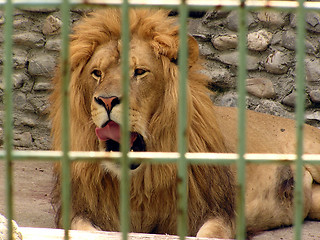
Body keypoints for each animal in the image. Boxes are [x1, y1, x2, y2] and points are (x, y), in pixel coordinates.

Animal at [50, 8, 320, 238]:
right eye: (97, 73)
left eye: (139, 72)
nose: (106, 100)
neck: (140, 182)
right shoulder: (79, 211)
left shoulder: (218, 212)